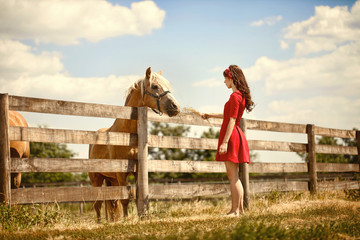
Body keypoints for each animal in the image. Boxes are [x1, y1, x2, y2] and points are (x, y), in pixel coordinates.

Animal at [88, 67, 180, 221]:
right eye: (155, 86)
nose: (176, 107)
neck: (127, 135)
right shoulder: (120, 173)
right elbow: (125, 199)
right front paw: (126, 220)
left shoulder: (136, 173)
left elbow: (136, 198)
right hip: (96, 179)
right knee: (98, 204)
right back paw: (100, 222)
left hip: (110, 179)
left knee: (111, 202)